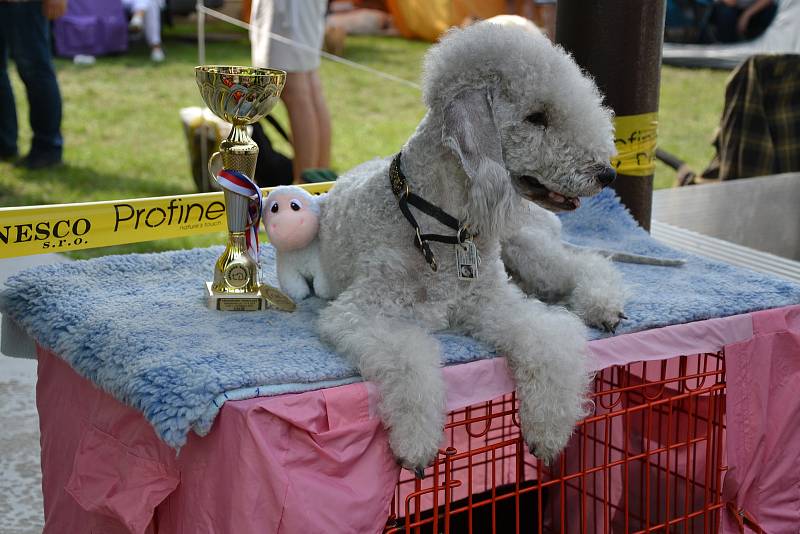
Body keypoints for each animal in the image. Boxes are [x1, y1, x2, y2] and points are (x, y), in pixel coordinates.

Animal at [318, 22, 624, 474]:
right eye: (536, 117)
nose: (606, 173)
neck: (439, 225)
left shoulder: (492, 301)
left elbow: (549, 338)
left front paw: (549, 431)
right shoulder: (364, 312)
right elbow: (409, 358)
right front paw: (416, 442)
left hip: (525, 247)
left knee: (584, 264)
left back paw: (604, 305)